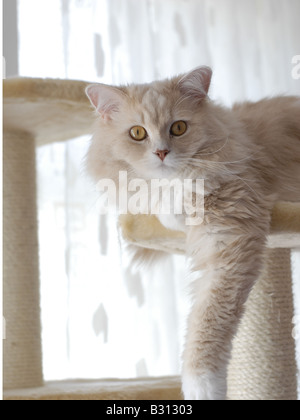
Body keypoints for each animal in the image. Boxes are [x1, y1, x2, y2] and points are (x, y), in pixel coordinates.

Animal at [85, 67, 300, 402]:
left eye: (179, 127)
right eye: (138, 133)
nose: (161, 152)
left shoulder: (228, 242)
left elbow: (207, 321)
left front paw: (202, 387)